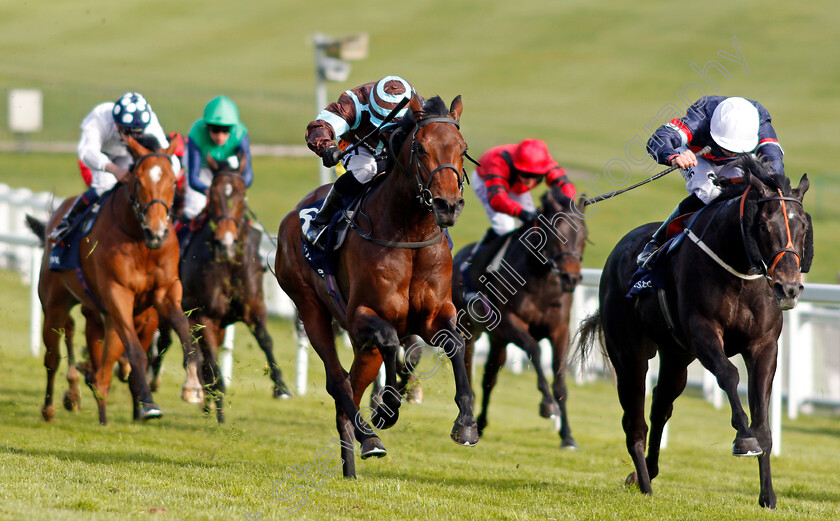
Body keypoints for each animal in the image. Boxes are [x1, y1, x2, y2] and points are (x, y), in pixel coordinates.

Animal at [28, 136, 200, 424]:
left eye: (173, 182)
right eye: (138, 181)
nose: (156, 232)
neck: (140, 242)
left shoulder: (164, 292)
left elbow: (185, 332)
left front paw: (193, 386)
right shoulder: (117, 294)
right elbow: (135, 351)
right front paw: (148, 405)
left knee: (103, 368)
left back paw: (100, 409)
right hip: (55, 305)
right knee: (53, 358)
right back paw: (51, 407)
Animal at [152, 152, 292, 420]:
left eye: (241, 194)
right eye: (213, 195)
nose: (225, 243)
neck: (227, 265)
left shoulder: (254, 307)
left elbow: (265, 340)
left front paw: (281, 387)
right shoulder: (202, 315)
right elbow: (211, 363)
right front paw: (217, 405)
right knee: (166, 344)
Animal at [278, 95, 480, 478]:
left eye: (462, 148)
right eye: (421, 148)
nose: (448, 205)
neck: (410, 233)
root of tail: (292, 216)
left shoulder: (433, 315)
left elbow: (454, 343)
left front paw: (465, 423)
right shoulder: (361, 315)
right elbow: (390, 342)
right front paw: (387, 406)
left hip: (362, 346)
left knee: (351, 385)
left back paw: (352, 459)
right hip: (310, 309)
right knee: (337, 380)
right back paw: (368, 436)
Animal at [450, 186, 588, 446]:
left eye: (584, 235)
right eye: (556, 233)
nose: (572, 278)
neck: (541, 277)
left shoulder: (560, 329)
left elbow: (560, 378)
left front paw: (567, 436)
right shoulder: (510, 322)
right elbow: (534, 349)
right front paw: (547, 405)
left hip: (497, 341)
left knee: (489, 379)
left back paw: (481, 423)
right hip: (468, 330)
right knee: (469, 369)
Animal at [576, 155, 812, 508]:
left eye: (803, 228)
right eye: (763, 226)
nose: (788, 288)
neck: (738, 269)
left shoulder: (764, 345)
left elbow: (763, 420)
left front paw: (768, 496)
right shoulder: (702, 332)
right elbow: (729, 375)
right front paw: (744, 439)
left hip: (676, 356)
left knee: (661, 405)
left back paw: (648, 471)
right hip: (629, 355)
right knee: (635, 421)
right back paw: (644, 483)